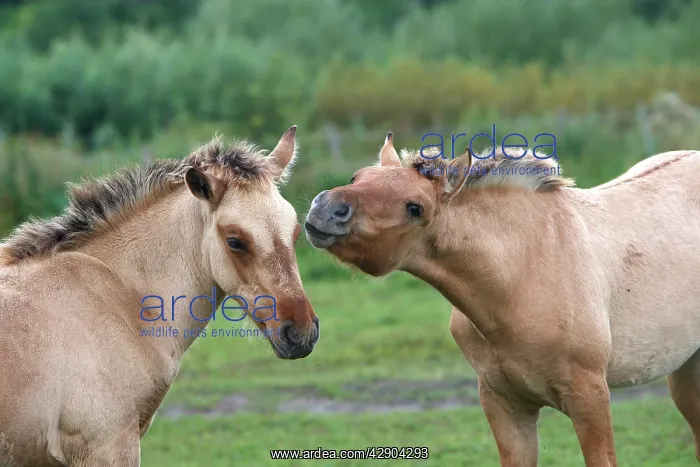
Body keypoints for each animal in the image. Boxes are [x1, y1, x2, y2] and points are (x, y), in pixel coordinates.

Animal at [304, 132, 700, 467]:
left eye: (415, 208)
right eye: (358, 176)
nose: (326, 209)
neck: (521, 274)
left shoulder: (590, 398)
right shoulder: (504, 405)